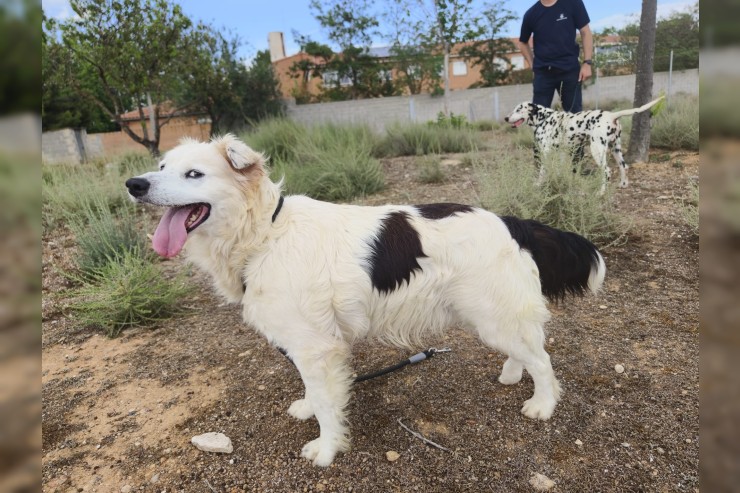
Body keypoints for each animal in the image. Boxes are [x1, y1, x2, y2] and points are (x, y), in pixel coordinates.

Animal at [124, 135, 604, 466]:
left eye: (194, 174)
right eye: (161, 166)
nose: (134, 184)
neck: (265, 233)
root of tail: (511, 221)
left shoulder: (317, 347)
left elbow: (326, 403)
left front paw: (326, 449)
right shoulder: (309, 345)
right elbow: (313, 392)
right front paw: (307, 408)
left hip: (494, 315)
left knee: (543, 360)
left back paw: (542, 404)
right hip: (492, 317)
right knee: (525, 350)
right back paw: (510, 374)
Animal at [502, 96, 664, 190]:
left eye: (518, 109)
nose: (506, 118)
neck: (544, 119)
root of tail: (612, 115)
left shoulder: (546, 152)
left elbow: (542, 171)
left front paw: (538, 184)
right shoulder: (560, 153)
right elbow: (559, 171)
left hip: (597, 150)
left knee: (607, 171)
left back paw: (601, 193)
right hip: (615, 149)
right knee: (624, 166)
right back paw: (623, 184)